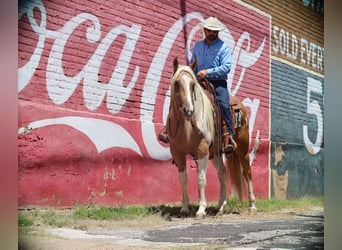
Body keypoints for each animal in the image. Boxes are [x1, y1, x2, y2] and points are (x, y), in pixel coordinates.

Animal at [166, 57, 256, 219]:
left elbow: (201, 179)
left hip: (242, 149)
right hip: (215, 153)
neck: (187, 126)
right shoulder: (177, 152)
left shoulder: (202, 150)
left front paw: (201, 210)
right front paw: (184, 208)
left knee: (247, 172)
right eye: (177, 83)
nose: (189, 111)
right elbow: (183, 179)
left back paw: (252, 205)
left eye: (193, 84)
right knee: (223, 173)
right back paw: (220, 207)